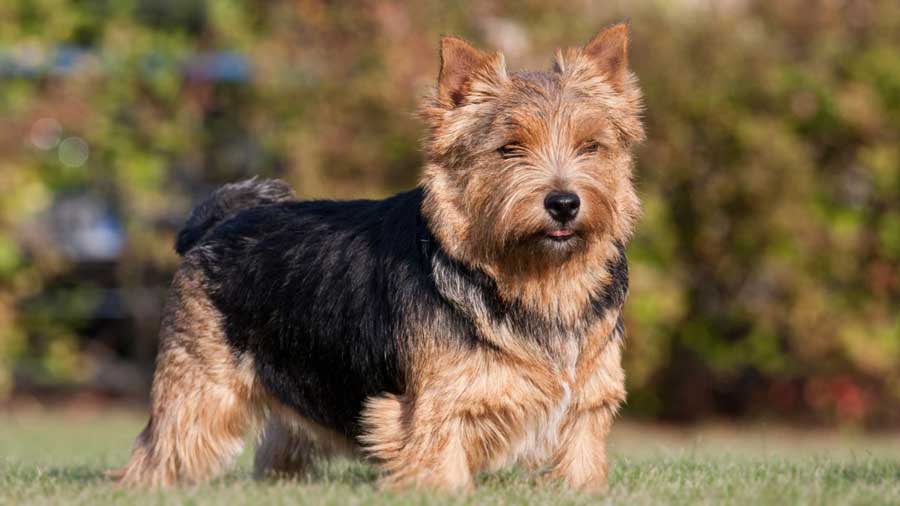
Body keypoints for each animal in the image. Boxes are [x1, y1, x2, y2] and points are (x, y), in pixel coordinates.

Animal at [118, 21, 640, 492]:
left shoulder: (587, 402)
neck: (539, 281)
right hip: (200, 386)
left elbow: (581, 463)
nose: (564, 202)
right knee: (165, 444)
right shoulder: (433, 408)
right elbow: (440, 468)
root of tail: (216, 222)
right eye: (509, 149)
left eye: (591, 146)